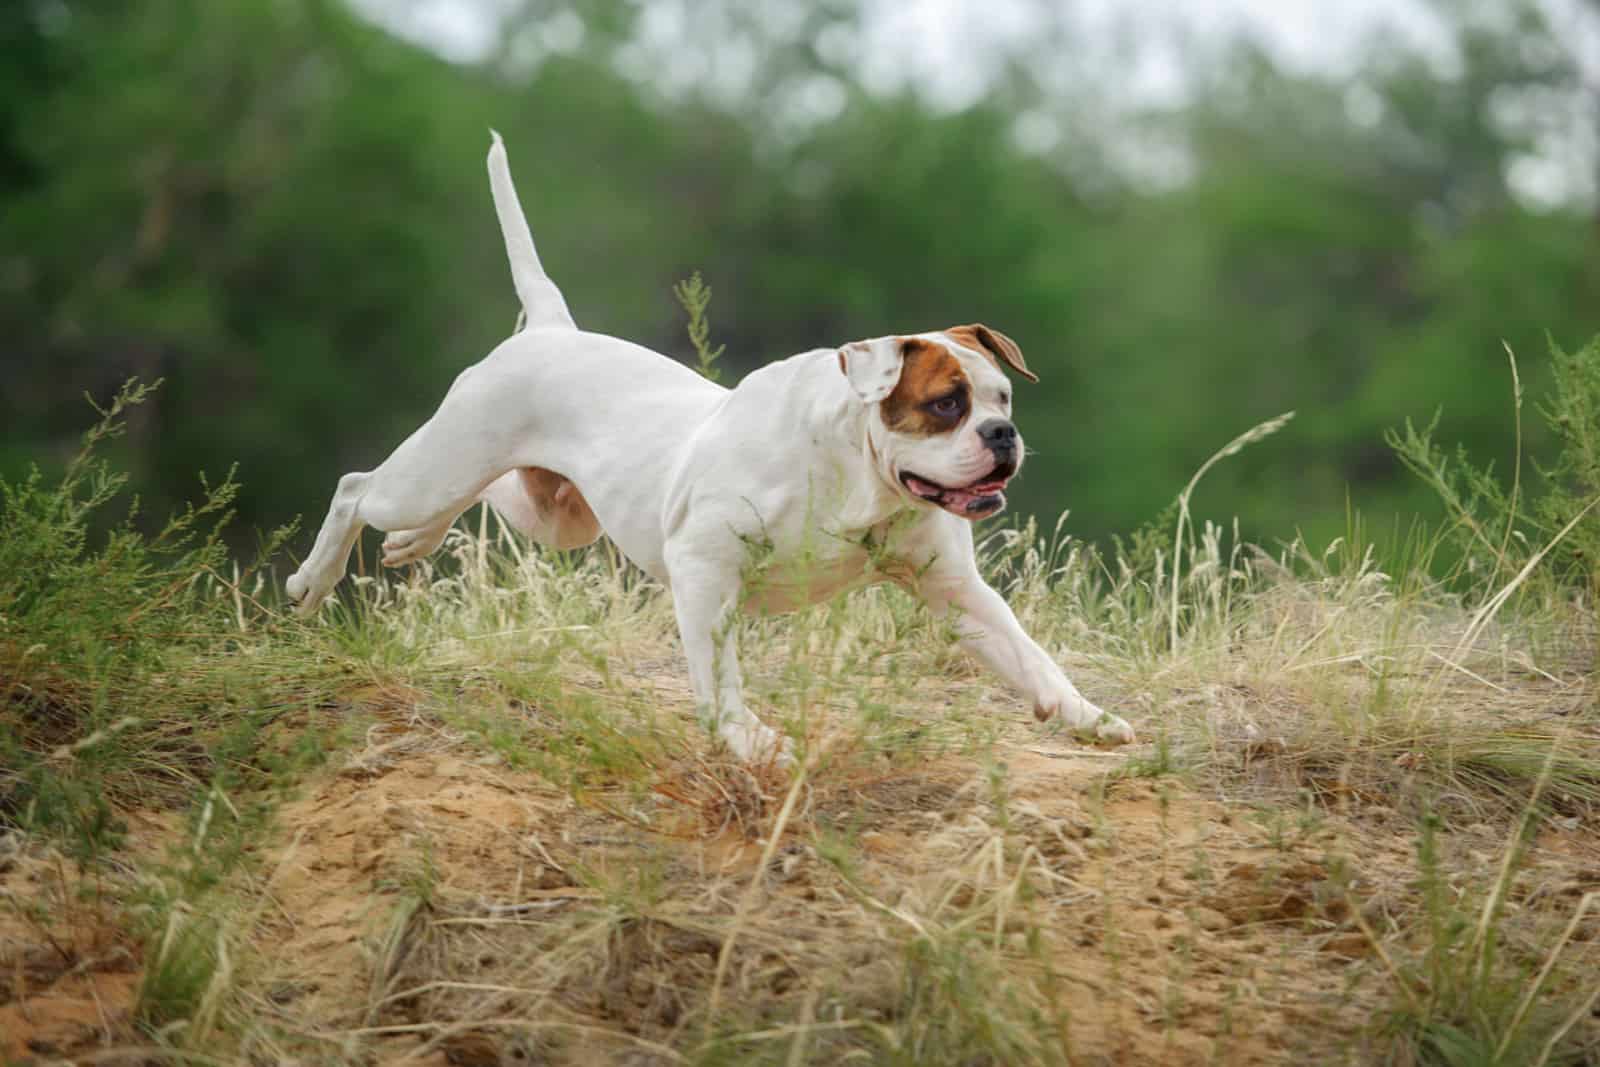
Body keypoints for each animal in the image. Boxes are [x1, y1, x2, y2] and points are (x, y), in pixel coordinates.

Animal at [288, 133, 1139, 764]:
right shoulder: (703, 568)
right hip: (443, 466)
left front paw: (1085, 714)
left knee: (468, 496)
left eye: (1003, 399)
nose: (1003, 436)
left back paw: (411, 542)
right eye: (945, 405)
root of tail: (553, 329)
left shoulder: (960, 592)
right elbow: (719, 672)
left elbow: (1031, 655)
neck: (851, 472)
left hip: (554, 514)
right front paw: (748, 739)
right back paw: (314, 578)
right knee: (357, 485)